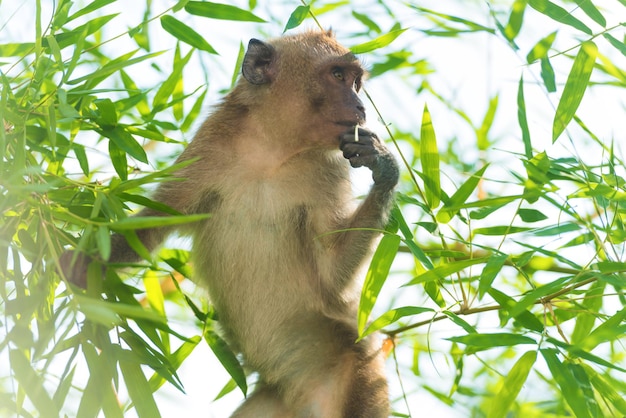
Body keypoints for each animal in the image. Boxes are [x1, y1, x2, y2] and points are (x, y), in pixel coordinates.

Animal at [61, 31, 398, 416]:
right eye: (339, 76)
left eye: (356, 82)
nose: (361, 107)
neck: (273, 150)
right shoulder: (210, 148)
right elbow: (155, 221)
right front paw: (83, 262)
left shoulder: (332, 170)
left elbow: (331, 277)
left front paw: (384, 167)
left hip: (358, 369)